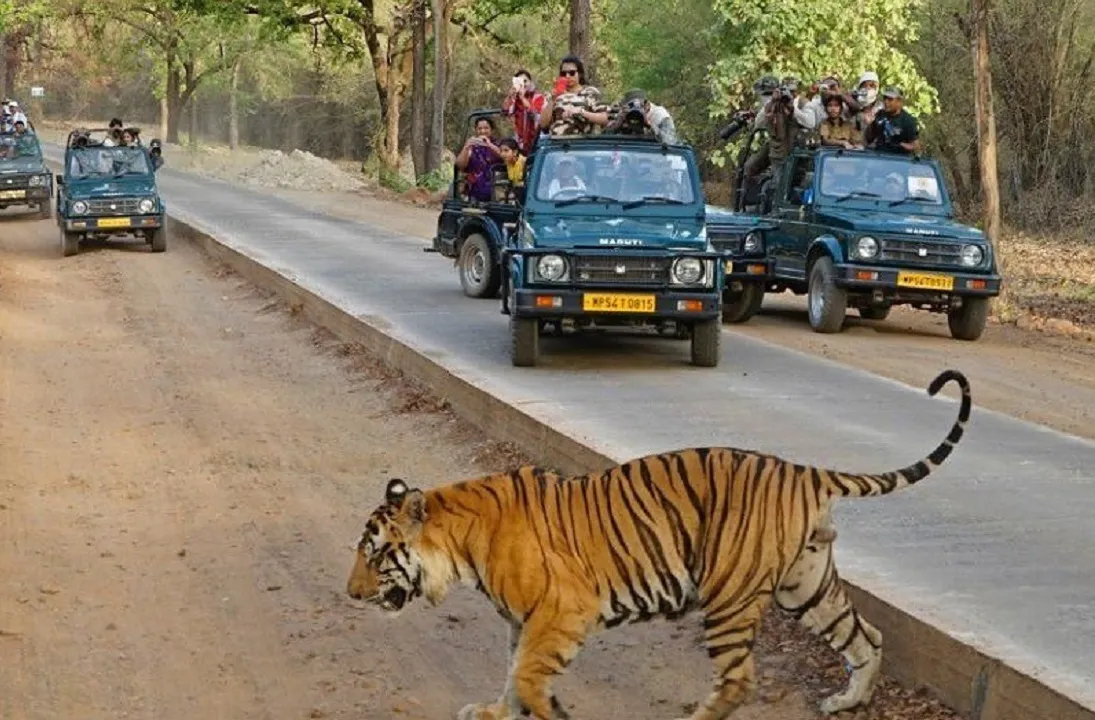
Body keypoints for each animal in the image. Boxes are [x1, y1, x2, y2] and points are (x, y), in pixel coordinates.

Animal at [346, 367, 972, 717]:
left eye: (375, 553)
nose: (351, 594)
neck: (459, 543)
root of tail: (803, 470)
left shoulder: (562, 610)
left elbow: (527, 676)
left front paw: (546, 711)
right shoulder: (523, 621)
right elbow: (512, 674)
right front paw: (499, 712)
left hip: (729, 593)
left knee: (740, 680)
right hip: (806, 585)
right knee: (866, 635)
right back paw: (848, 701)